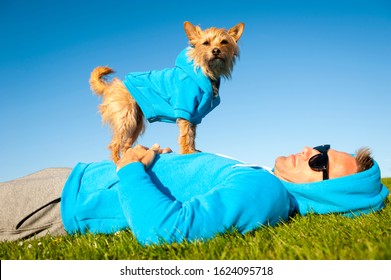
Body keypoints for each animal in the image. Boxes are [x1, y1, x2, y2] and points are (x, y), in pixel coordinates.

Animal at [92, 21, 245, 163]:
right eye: (205, 43)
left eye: (224, 42)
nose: (216, 51)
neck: (204, 71)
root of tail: (112, 86)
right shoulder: (185, 110)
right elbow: (186, 134)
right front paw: (187, 152)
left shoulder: (194, 116)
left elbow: (192, 134)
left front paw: (193, 149)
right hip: (125, 119)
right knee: (114, 143)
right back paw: (117, 161)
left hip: (136, 123)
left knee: (125, 145)